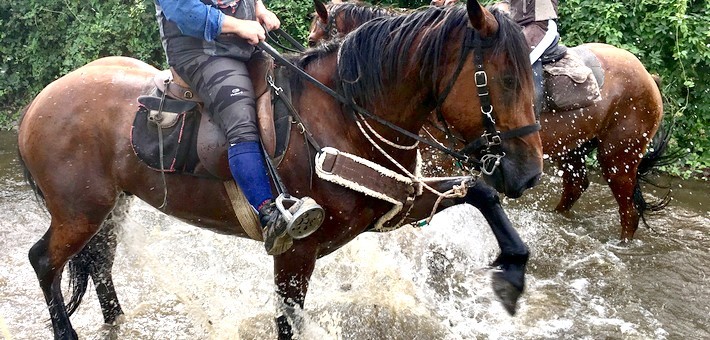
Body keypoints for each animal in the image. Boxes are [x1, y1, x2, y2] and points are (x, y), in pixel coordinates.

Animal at [19, 1, 544, 338]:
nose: (529, 175)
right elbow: (287, 322)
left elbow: (480, 193)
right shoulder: (296, 252)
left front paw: (512, 273)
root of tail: (35, 105)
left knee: (99, 264)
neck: (343, 115)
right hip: (78, 212)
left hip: (112, 206)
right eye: (505, 78)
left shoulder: (394, 207)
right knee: (44, 261)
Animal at [308, 0, 672, 240]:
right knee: (576, 185)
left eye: (312, 40)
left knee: (628, 211)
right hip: (574, 150)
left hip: (619, 158)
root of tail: (648, 76)